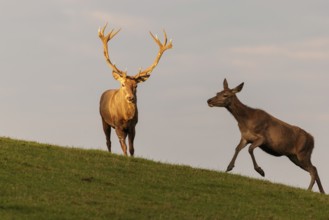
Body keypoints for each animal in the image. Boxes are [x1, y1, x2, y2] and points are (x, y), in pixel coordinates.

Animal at [97, 22, 173, 156]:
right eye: (123, 84)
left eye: (136, 86)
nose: (130, 98)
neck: (126, 117)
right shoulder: (118, 126)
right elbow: (124, 147)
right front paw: (125, 157)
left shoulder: (133, 127)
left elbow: (132, 148)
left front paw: (131, 157)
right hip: (104, 120)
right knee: (108, 141)